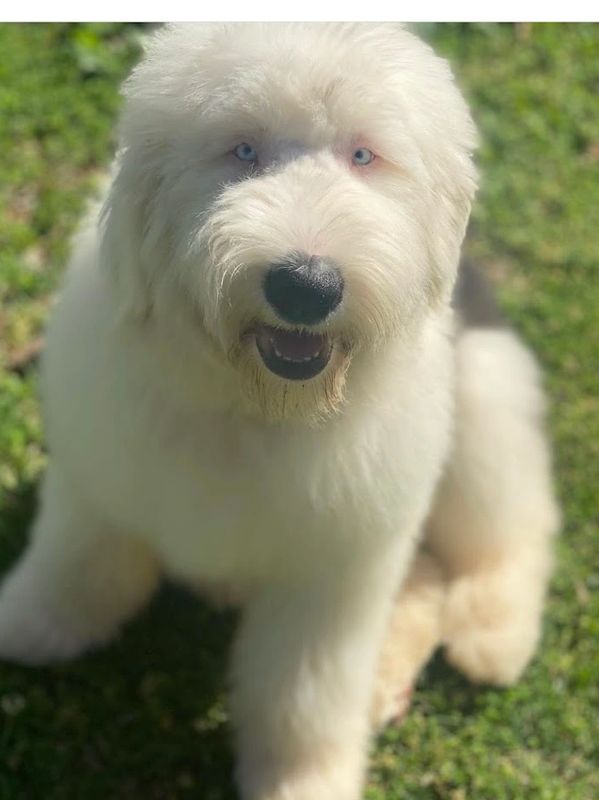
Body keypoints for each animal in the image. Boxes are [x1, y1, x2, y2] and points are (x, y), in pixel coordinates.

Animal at [1, 23, 564, 800]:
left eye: (364, 155)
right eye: (241, 150)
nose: (306, 286)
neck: (254, 406)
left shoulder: (335, 565)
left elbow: (304, 692)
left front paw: (304, 780)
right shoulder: (100, 475)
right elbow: (77, 561)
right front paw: (33, 624)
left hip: (482, 402)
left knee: (511, 533)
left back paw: (492, 635)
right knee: (426, 575)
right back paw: (389, 679)